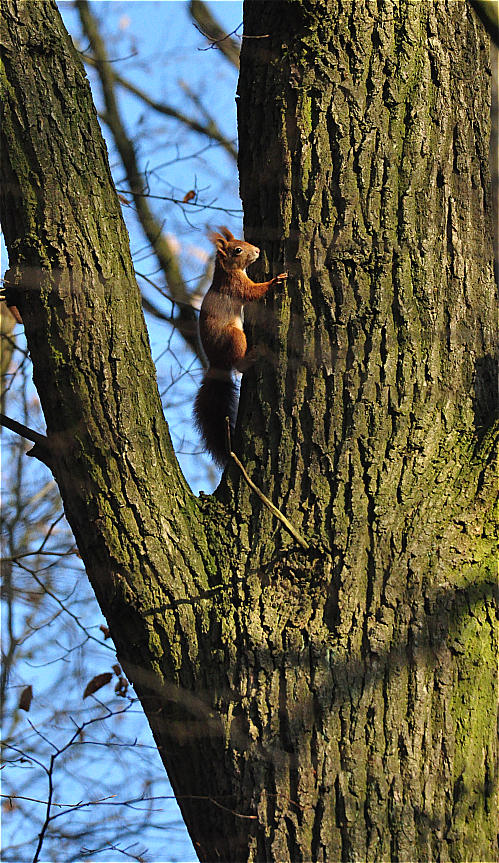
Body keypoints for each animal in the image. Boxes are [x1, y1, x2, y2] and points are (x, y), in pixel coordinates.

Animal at [194, 227, 287, 467]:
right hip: (235, 337)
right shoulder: (236, 286)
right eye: (237, 250)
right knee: (238, 364)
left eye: (243, 240)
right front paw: (275, 281)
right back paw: (252, 356)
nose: (257, 250)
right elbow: (252, 293)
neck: (226, 272)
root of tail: (216, 364)